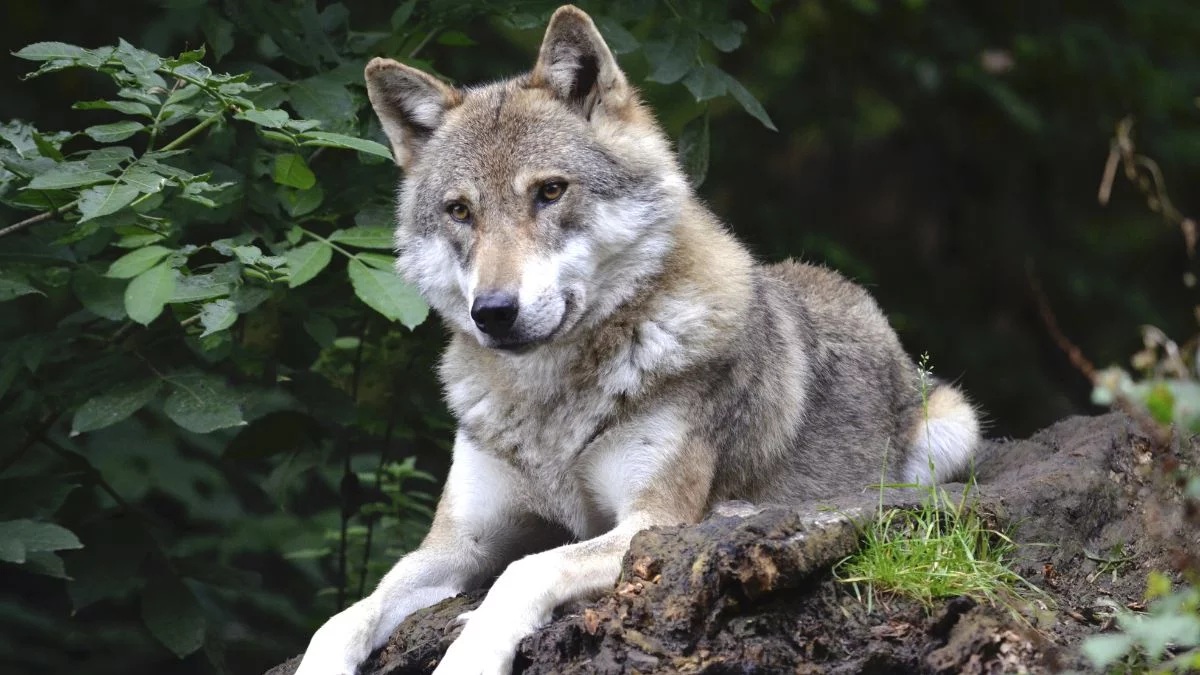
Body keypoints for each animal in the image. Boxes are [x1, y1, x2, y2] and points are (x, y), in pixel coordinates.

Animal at [295, 6, 979, 672]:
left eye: (550, 191)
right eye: (460, 211)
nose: (493, 312)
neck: (549, 405)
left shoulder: (651, 522)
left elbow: (524, 571)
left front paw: (471, 653)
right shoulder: (459, 543)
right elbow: (344, 616)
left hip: (951, 430)